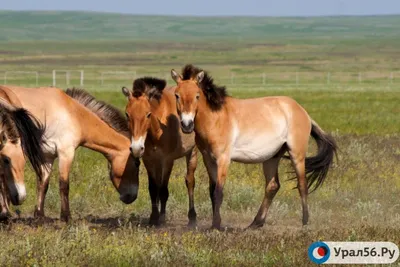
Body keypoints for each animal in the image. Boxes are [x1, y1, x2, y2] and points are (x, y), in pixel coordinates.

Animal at [0, 86, 140, 222]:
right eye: (137, 163)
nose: (132, 197)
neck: (74, 114)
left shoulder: (47, 157)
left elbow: (43, 184)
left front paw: (39, 215)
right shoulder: (66, 153)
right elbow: (64, 185)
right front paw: (66, 216)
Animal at [122, 77, 197, 226]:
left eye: (148, 114)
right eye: (127, 114)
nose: (136, 148)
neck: (157, 130)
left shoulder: (167, 160)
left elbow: (163, 189)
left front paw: (161, 218)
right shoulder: (149, 160)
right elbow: (153, 188)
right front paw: (153, 217)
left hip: (192, 153)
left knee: (190, 182)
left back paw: (192, 217)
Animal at [171, 65, 338, 230]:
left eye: (197, 96)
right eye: (177, 95)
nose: (186, 125)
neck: (216, 118)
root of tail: (302, 112)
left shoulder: (223, 159)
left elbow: (219, 192)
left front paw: (216, 226)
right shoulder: (208, 159)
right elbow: (212, 191)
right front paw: (215, 224)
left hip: (296, 154)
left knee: (302, 184)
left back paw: (305, 222)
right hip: (272, 157)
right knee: (272, 186)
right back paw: (256, 223)